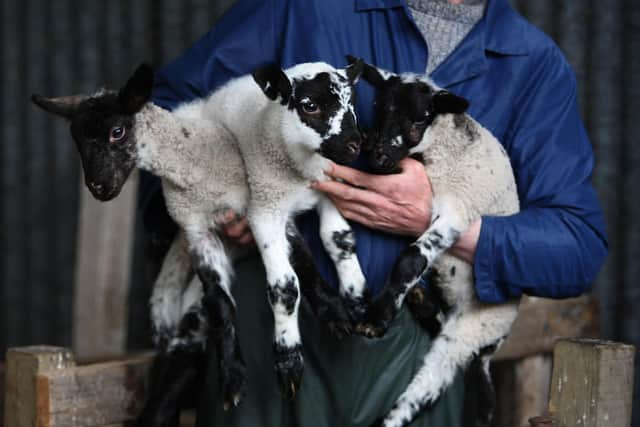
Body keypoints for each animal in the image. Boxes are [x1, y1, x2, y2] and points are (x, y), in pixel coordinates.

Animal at [32, 60, 368, 424]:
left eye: (117, 131)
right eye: (77, 138)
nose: (98, 187)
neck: (199, 163)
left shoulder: (262, 208)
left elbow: (302, 265)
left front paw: (335, 315)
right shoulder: (196, 230)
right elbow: (221, 302)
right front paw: (233, 379)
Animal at [352, 57, 524, 427]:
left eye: (419, 117)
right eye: (378, 107)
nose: (379, 156)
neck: (443, 147)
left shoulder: (457, 213)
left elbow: (411, 259)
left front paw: (376, 319)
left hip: (470, 332)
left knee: (432, 385)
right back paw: (423, 303)